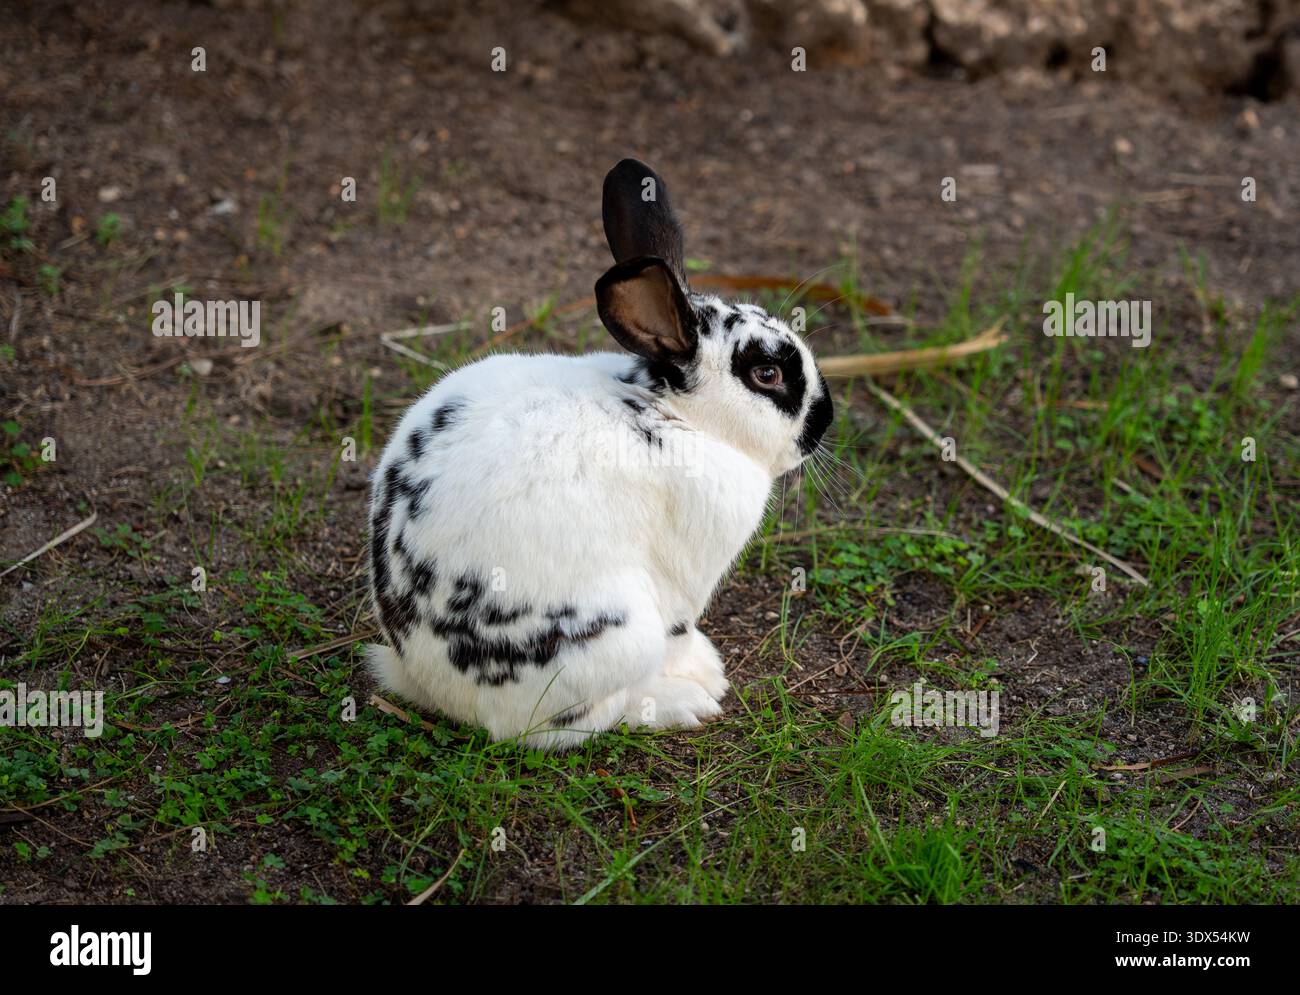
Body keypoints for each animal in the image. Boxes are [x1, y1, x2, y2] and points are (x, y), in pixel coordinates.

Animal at [365, 158, 833, 749]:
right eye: (766, 374)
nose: (824, 421)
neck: (672, 413)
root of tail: (428, 682)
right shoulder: (685, 583)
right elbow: (680, 634)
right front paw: (704, 675)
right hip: (620, 636)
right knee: (581, 720)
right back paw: (682, 702)